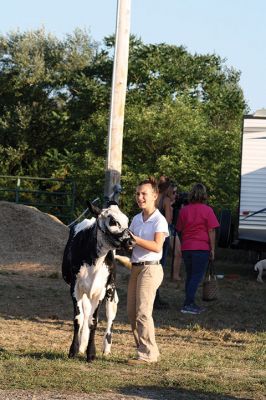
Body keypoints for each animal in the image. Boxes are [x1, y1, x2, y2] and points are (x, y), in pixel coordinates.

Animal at [62, 202, 133, 360]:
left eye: (127, 220)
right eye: (113, 221)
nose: (132, 241)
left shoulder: (100, 291)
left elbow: (93, 321)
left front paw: (91, 353)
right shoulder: (75, 289)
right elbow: (78, 319)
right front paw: (73, 350)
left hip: (110, 289)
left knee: (110, 315)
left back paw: (106, 348)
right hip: (86, 293)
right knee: (85, 314)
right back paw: (82, 345)